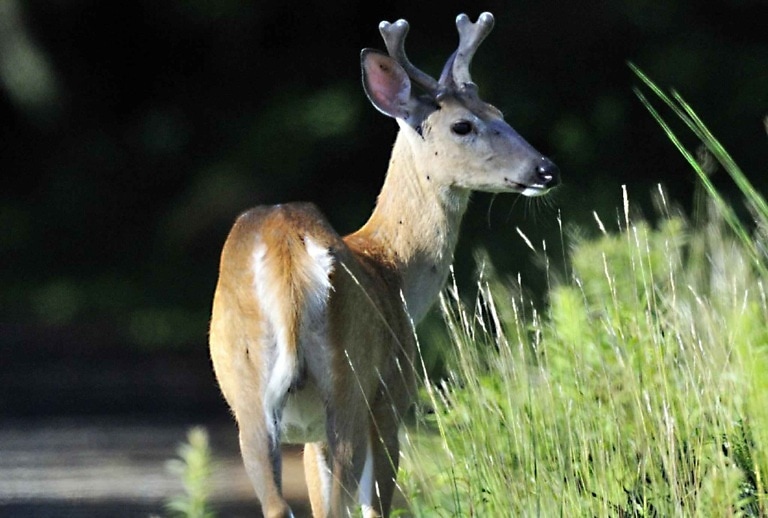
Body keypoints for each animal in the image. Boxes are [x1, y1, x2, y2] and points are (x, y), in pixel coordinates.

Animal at [208, 12, 560, 518]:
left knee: (278, 503)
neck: (393, 270)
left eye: (500, 112)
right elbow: (376, 504)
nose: (545, 170)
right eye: (462, 125)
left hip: (249, 397)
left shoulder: (309, 434)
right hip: (350, 386)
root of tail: (286, 253)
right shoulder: (392, 397)